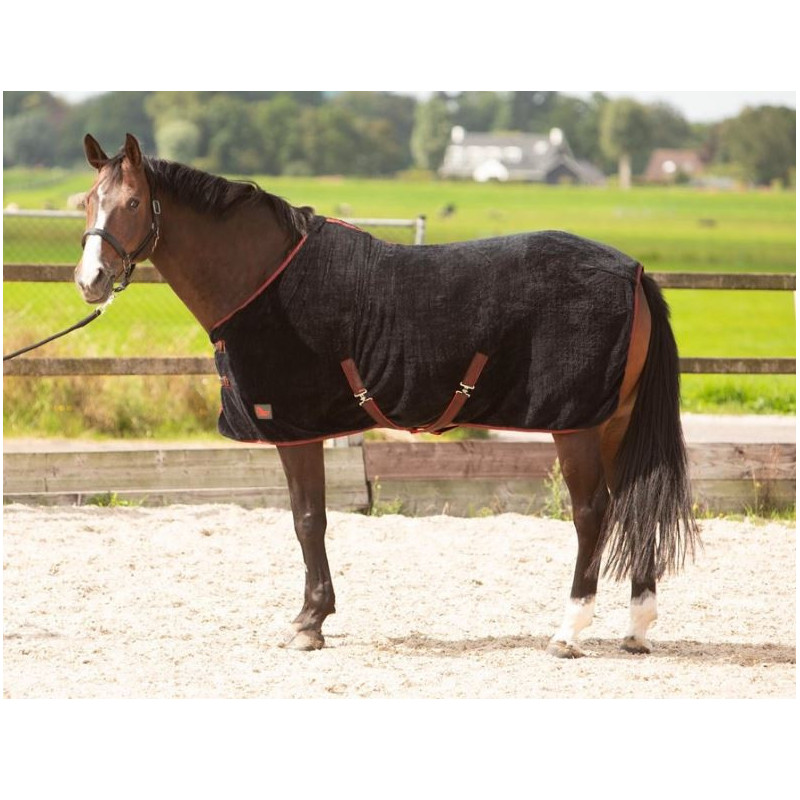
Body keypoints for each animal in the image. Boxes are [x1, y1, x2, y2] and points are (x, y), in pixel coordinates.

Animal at [74, 133, 699, 657]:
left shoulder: (294, 429)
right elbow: (311, 518)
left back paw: (568, 631)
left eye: (133, 203)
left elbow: (307, 519)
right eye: (86, 202)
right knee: (637, 502)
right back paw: (637, 628)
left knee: (594, 513)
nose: (90, 281)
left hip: (577, 424)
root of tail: (634, 271)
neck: (264, 280)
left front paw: (309, 623)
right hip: (615, 420)